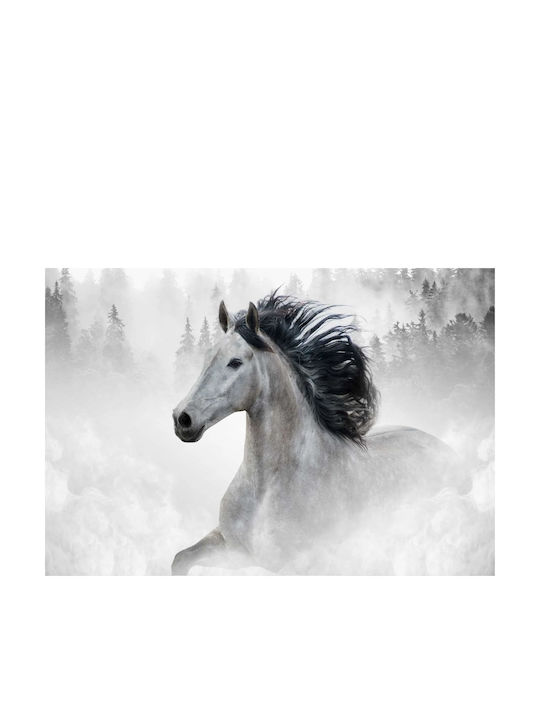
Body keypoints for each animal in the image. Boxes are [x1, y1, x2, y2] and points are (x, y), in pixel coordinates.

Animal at [171, 292, 469, 575]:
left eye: (235, 362)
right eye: (207, 357)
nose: (182, 419)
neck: (265, 490)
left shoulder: (299, 564)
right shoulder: (230, 547)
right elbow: (179, 560)